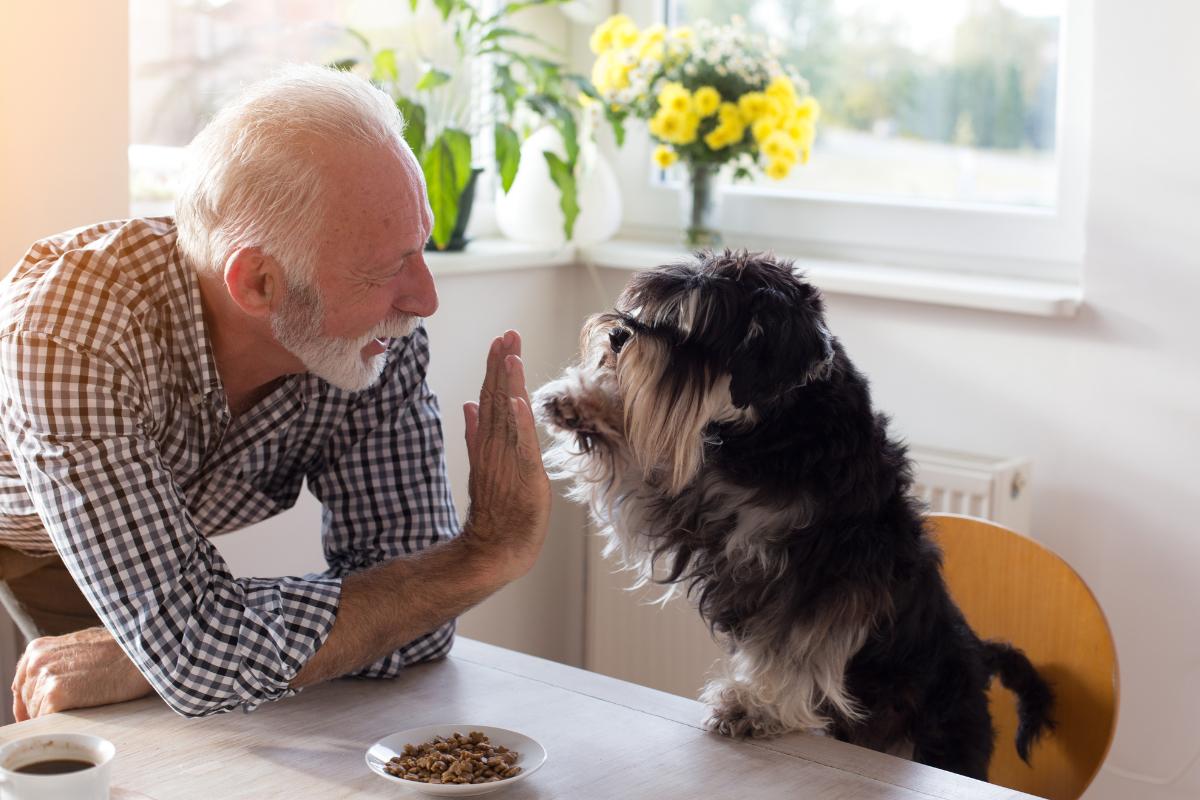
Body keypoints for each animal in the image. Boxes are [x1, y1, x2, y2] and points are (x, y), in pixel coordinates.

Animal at [532, 251, 1051, 782]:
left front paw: (753, 707)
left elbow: (794, 649)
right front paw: (582, 402)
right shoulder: (693, 506)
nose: (618, 335)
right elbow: (641, 469)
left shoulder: (826, 577)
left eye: (696, 328)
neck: (779, 429)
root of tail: (979, 655)